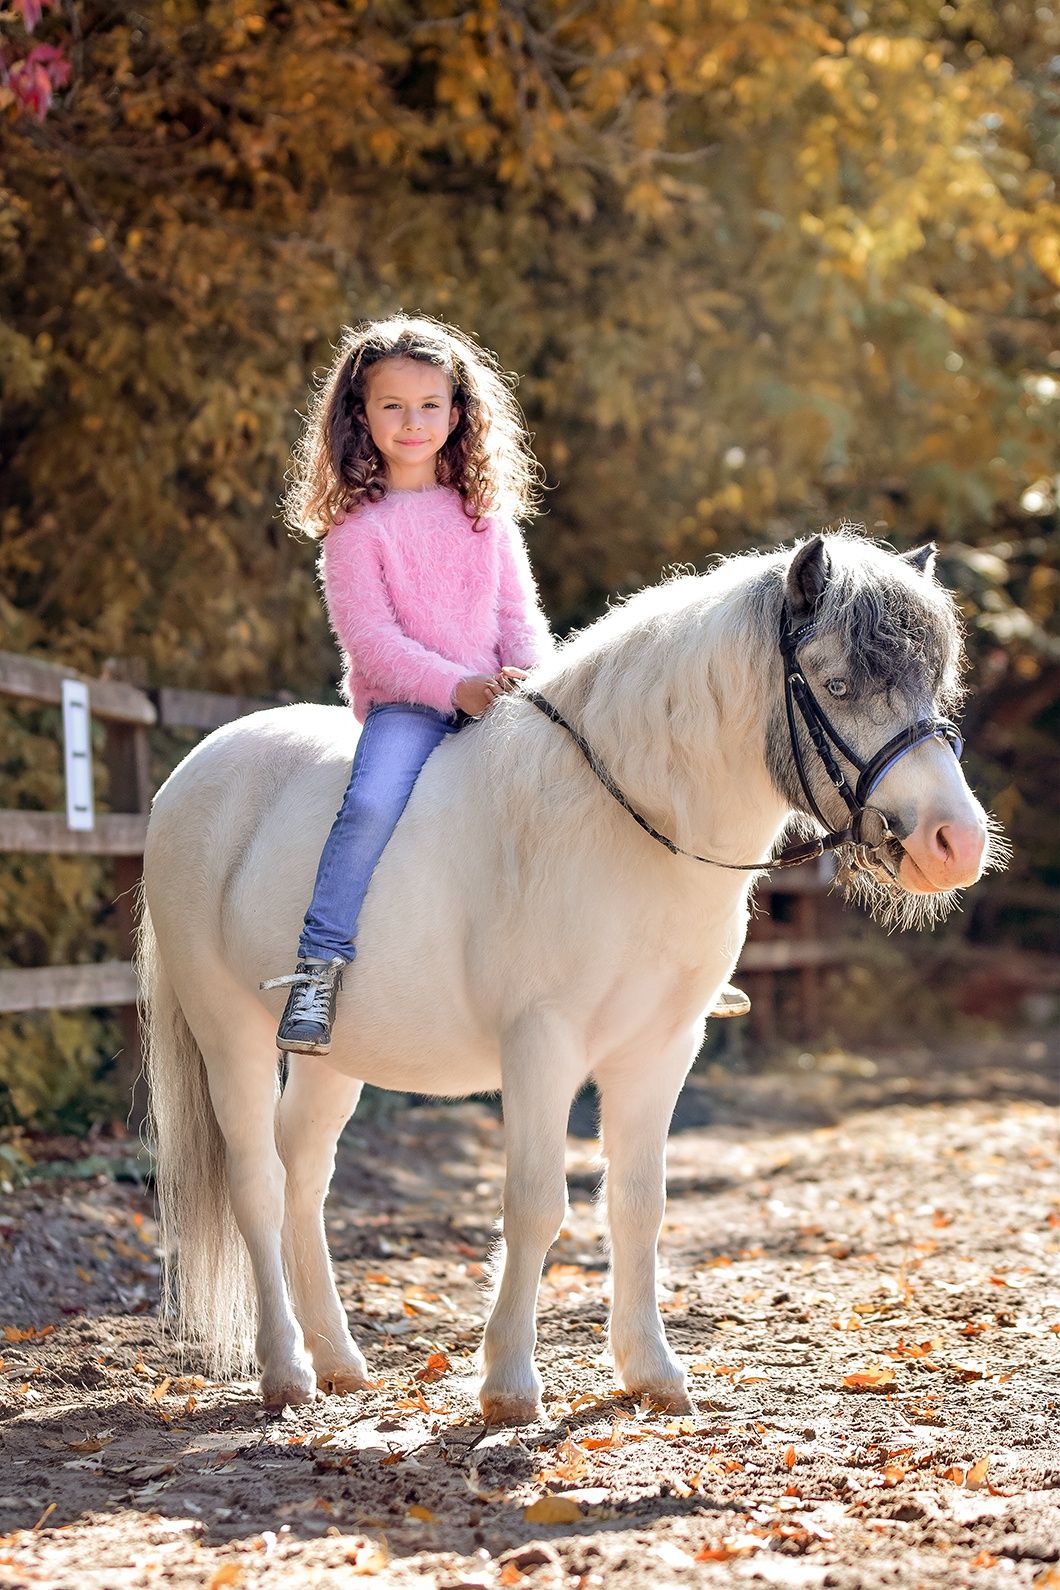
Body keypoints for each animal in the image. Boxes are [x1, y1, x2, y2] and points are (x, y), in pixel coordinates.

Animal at [140, 534, 998, 1418]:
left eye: (935, 685)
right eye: (836, 684)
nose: (956, 843)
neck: (630, 825)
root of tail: (195, 771)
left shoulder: (661, 1051)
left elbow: (638, 1204)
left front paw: (652, 1373)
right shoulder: (541, 1046)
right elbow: (534, 1204)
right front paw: (511, 1387)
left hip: (333, 1055)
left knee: (305, 1173)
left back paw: (341, 1362)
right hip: (229, 1032)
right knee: (258, 1182)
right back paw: (287, 1372)